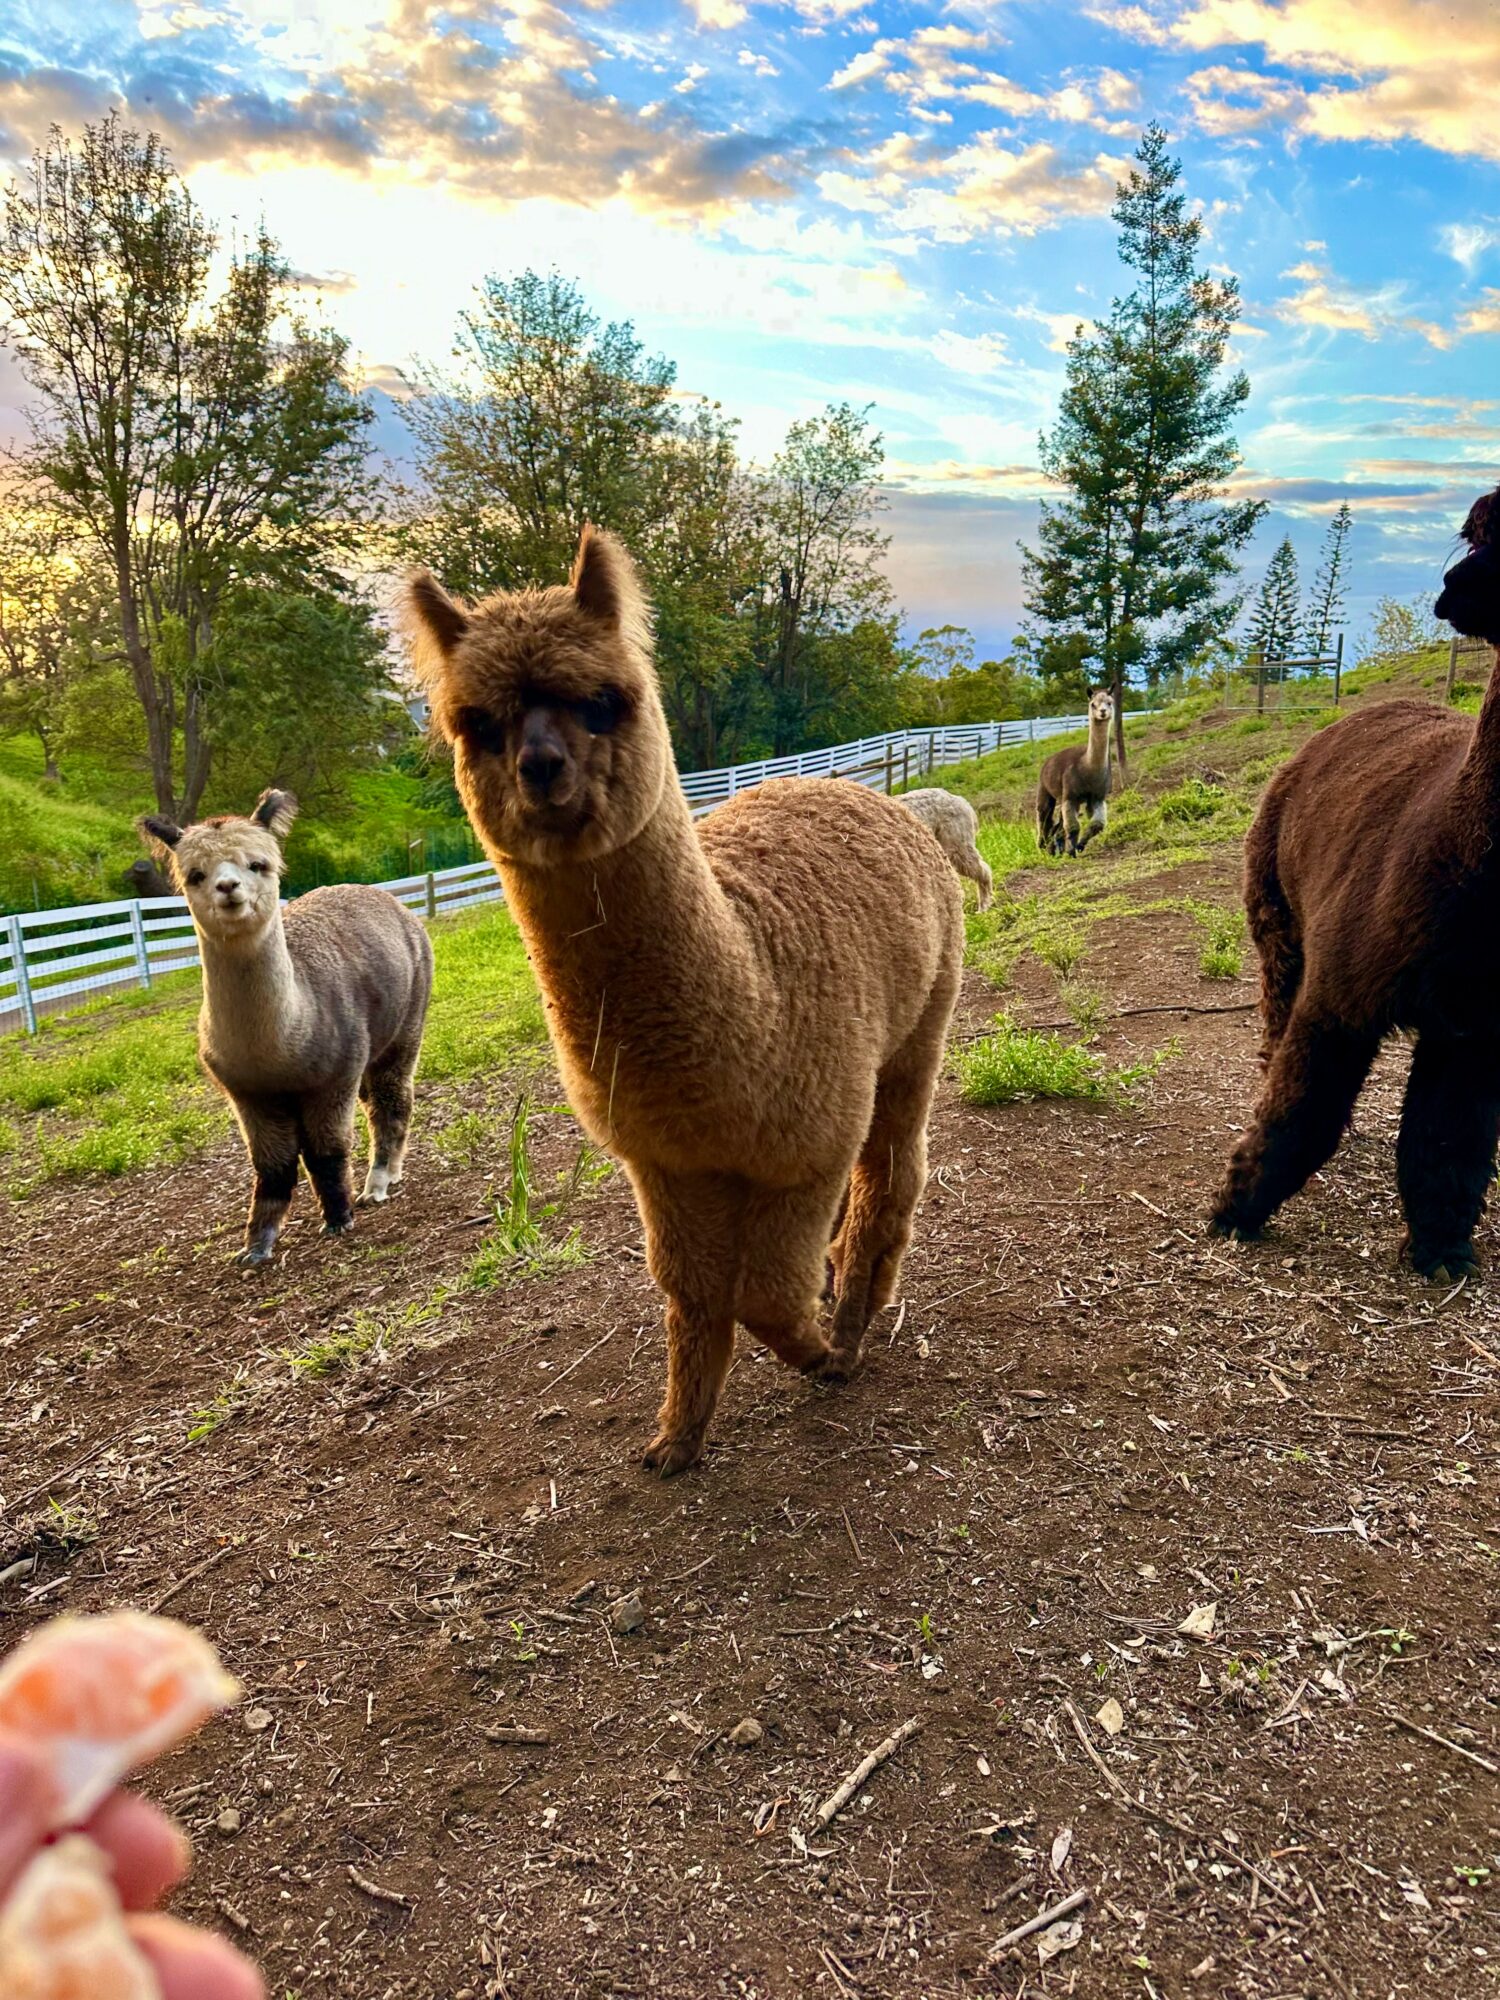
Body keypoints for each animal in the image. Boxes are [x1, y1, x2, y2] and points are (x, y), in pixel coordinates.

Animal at [139, 790, 434, 1266]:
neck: (279, 1051)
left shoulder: (333, 1076)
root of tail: (383, 896)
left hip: (408, 1017)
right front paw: (257, 1244)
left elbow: (325, 1150)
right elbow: (273, 1165)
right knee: (378, 1098)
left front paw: (338, 1217)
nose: (228, 888)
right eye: (195, 875)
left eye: (258, 864)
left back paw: (378, 1183)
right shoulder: (249, 1093)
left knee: (392, 1100)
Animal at [400, 526, 965, 1477]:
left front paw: (822, 1354)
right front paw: (676, 1438)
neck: (753, 988)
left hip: (918, 1025)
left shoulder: (801, 1148)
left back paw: (856, 1309)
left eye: (605, 701)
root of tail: (867, 792)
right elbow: (694, 1293)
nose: (540, 768)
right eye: (476, 722)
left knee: (891, 1170)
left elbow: (762, 1293)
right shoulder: (664, 1161)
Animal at [1037, 689, 1114, 856]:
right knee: (1043, 817)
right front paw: (1072, 851)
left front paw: (1079, 845)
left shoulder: (1097, 797)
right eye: (1093, 704)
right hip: (1045, 790)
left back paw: (1054, 850)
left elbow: (1097, 825)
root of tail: (1048, 761)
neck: (1087, 769)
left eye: (1109, 702)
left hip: (1064, 797)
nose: (1103, 712)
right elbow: (1072, 826)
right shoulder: (1071, 796)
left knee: (1057, 826)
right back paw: (1043, 847)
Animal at [1210, 485, 1500, 1282]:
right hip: (1278, 917)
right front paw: (1235, 1209)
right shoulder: (1342, 992)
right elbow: (1302, 1109)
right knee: (1277, 1027)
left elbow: (1449, 1137)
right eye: (1477, 532)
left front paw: (1441, 1249)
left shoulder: (1473, 1027)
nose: (1455, 589)